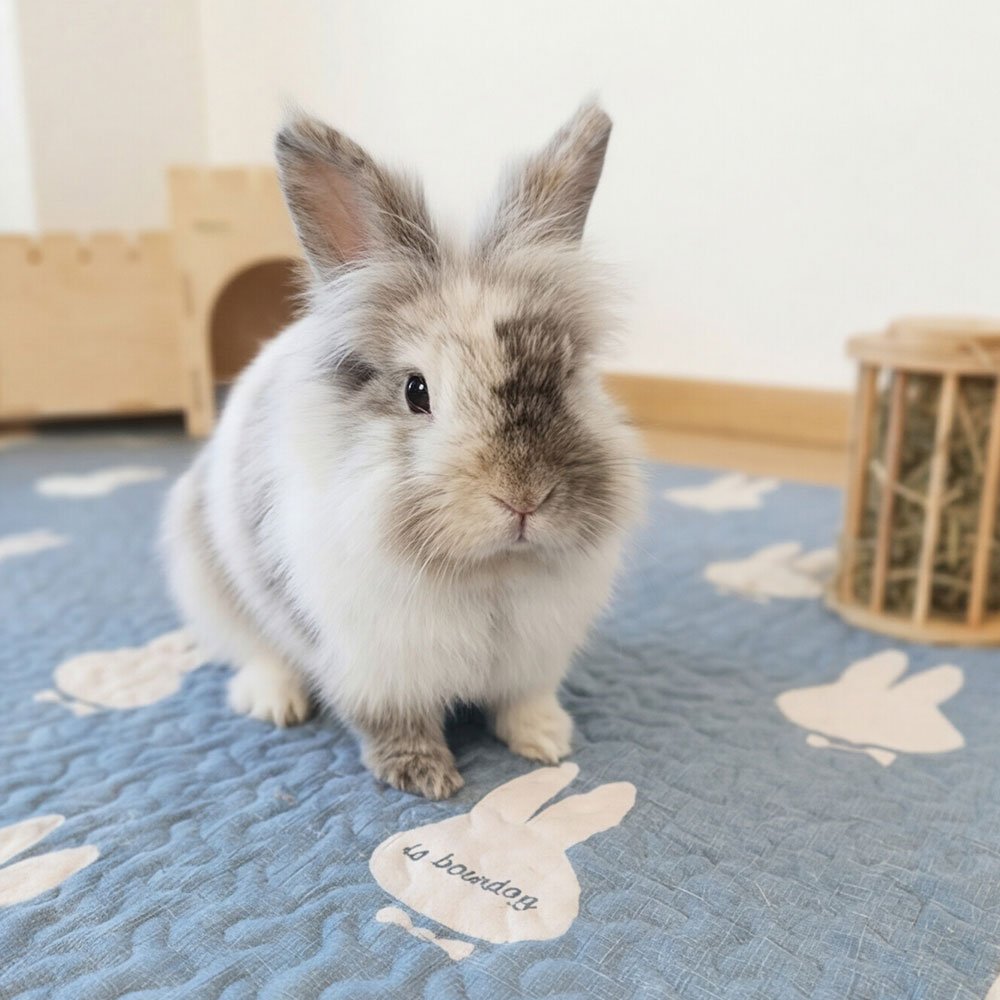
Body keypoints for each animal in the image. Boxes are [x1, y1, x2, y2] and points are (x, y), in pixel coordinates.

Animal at [160, 103, 643, 799]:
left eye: (569, 372)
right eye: (417, 391)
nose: (524, 498)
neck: (487, 572)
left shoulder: (533, 657)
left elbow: (522, 701)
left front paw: (549, 742)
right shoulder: (377, 667)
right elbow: (396, 721)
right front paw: (425, 777)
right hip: (210, 585)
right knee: (254, 649)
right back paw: (275, 703)